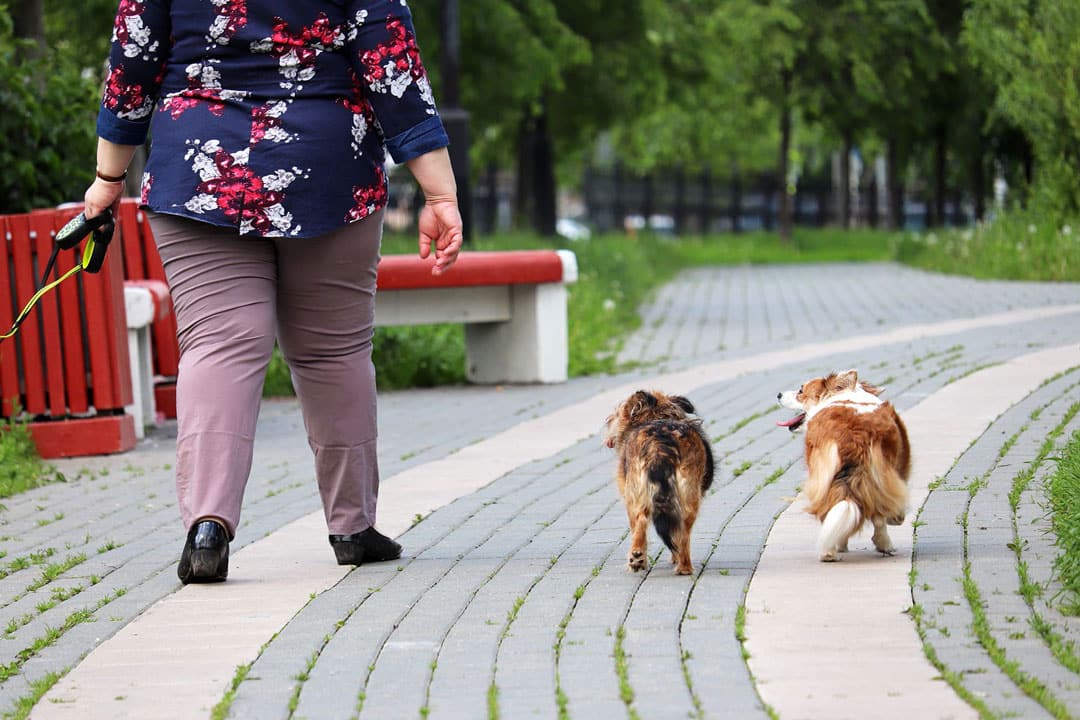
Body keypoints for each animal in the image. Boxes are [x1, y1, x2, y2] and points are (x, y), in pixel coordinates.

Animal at [604, 390, 712, 569]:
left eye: (617, 413)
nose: (608, 419)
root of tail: (660, 442)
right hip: (688, 494)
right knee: (680, 531)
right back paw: (680, 566)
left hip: (638, 493)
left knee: (644, 521)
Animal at [777, 369, 911, 561]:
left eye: (801, 390)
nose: (779, 394)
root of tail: (850, 435)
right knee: (877, 515)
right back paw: (883, 545)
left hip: (824, 476)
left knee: (832, 509)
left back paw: (829, 552)